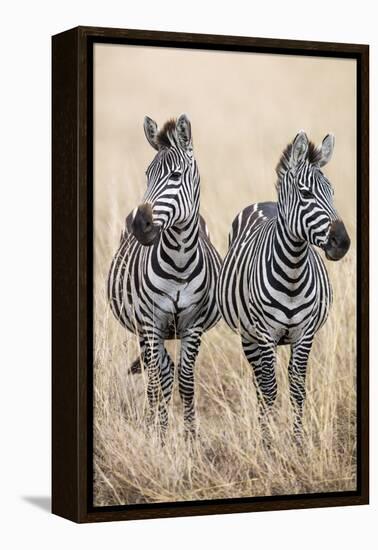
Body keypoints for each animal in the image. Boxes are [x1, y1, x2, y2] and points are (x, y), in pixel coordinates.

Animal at [107, 115, 221, 440]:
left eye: (175, 175)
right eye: (147, 175)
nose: (139, 225)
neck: (179, 263)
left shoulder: (193, 325)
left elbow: (186, 379)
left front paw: (190, 437)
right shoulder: (150, 322)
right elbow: (160, 378)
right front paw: (157, 434)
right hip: (143, 330)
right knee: (156, 374)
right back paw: (152, 424)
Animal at [217, 133, 350, 444]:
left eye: (332, 192)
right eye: (306, 193)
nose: (342, 243)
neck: (293, 270)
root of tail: (265, 203)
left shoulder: (305, 334)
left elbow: (298, 389)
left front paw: (298, 443)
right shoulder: (266, 335)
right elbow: (269, 391)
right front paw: (269, 444)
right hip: (249, 337)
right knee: (259, 381)